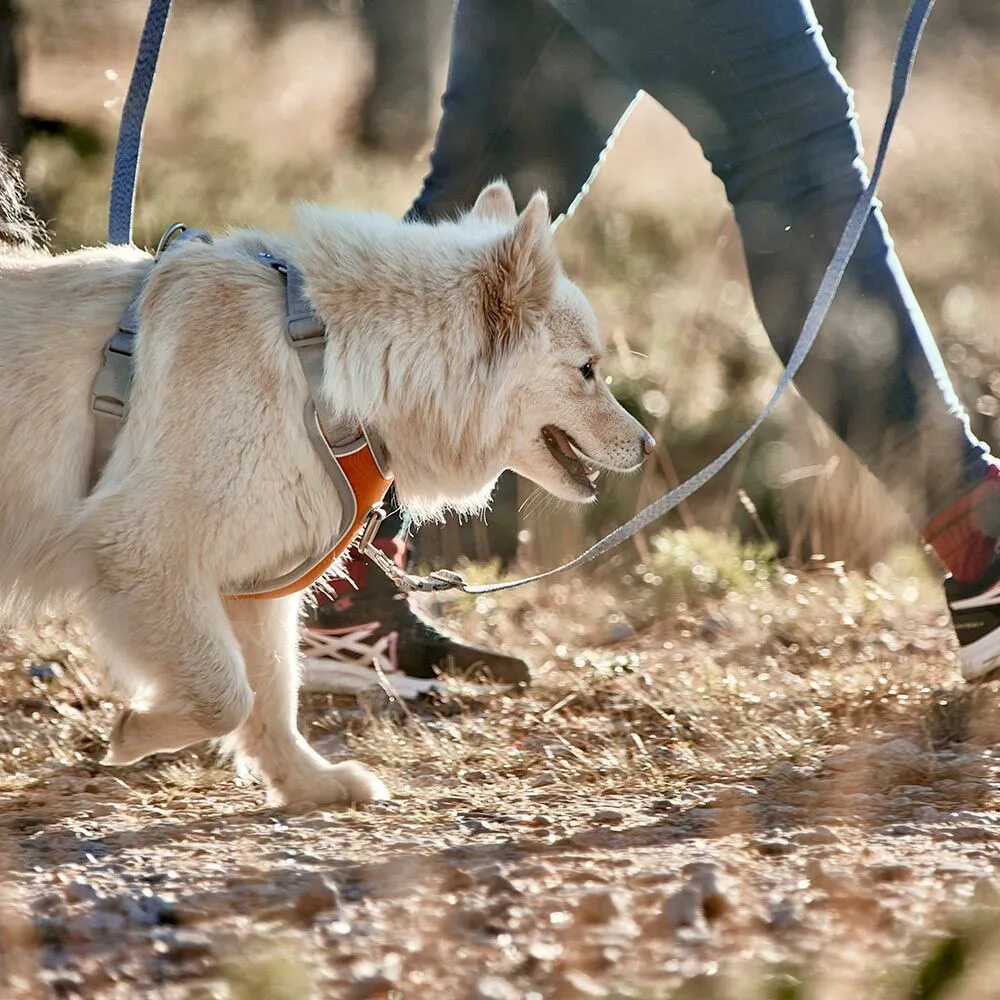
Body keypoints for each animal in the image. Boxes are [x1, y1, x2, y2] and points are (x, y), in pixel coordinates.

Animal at [0, 168, 652, 808]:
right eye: (587, 369)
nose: (648, 445)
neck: (323, 366)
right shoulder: (140, 550)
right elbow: (227, 695)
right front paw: (135, 732)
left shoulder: (253, 583)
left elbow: (270, 696)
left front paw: (308, 783)